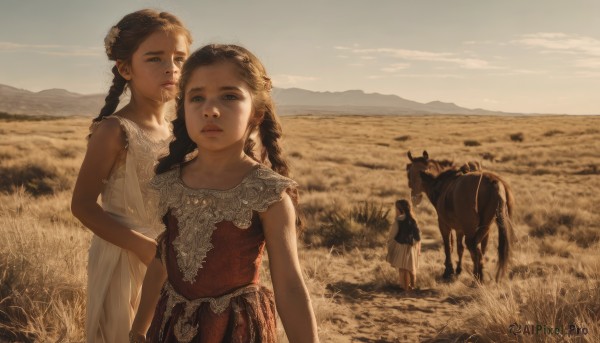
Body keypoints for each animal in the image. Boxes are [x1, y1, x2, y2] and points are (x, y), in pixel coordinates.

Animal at [406, 150, 512, 282]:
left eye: (409, 173)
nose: (414, 197)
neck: (442, 184)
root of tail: (492, 182)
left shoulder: (444, 224)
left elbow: (448, 246)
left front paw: (448, 270)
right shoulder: (460, 229)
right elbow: (459, 247)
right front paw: (458, 269)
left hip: (470, 229)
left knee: (474, 248)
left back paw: (477, 276)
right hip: (485, 227)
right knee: (479, 248)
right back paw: (478, 274)